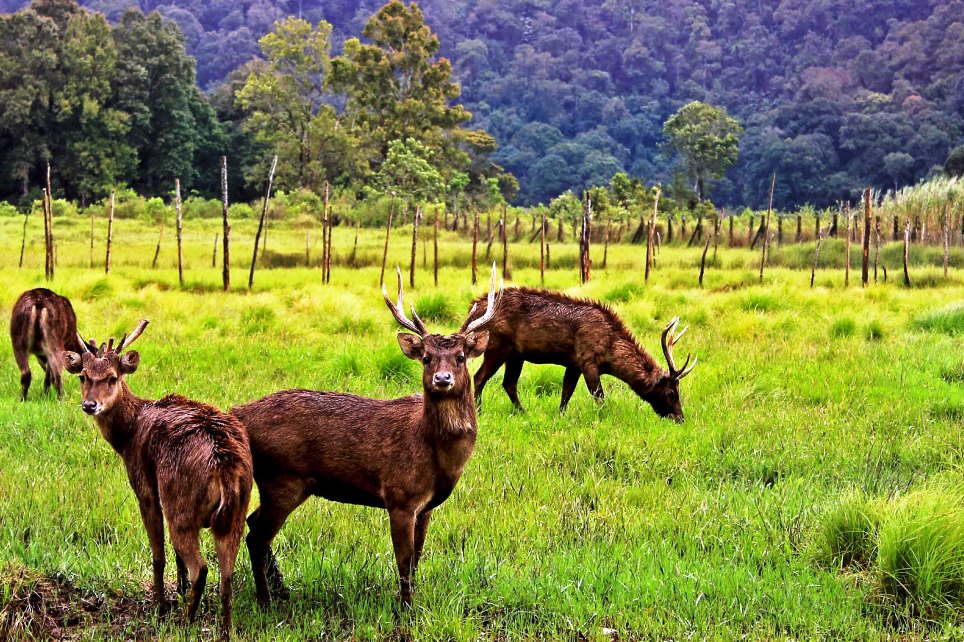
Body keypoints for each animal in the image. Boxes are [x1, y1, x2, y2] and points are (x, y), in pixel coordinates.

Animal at [64, 318, 252, 636]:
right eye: (83, 377)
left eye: (112, 378)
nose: (90, 405)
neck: (127, 435)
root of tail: (225, 468)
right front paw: (178, 590)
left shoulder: (146, 487)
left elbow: (159, 555)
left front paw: (161, 605)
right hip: (236, 511)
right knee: (226, 574)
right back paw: (225, 629)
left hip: (182, 503)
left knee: (202, 567)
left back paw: (186, 622)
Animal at [233, 262, 500, 608]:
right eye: (426, 358)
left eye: (461, 357)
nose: (442, 379)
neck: (437, 455)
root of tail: (239, 414)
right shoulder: (399, 495)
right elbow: (403, 560)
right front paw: (405, 608)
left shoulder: (427, 506)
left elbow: (417, 558)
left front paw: (413, 600)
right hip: (282, 478)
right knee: (256, 535)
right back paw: (266, 601)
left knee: (254, 525)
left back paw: (281, 590)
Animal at [464, 286, 696, 418]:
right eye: (670, 393)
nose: (680, 418)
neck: (610, 353)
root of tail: (474, 308)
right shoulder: (588, 360)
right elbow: (599, 396)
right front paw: (603, 418)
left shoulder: (573, 364)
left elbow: (566, 393)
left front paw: (561, 416)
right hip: (497, 346)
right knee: (479, 377)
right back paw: (479, 412)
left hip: (516, 354)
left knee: (508, 383)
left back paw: (523, 412)